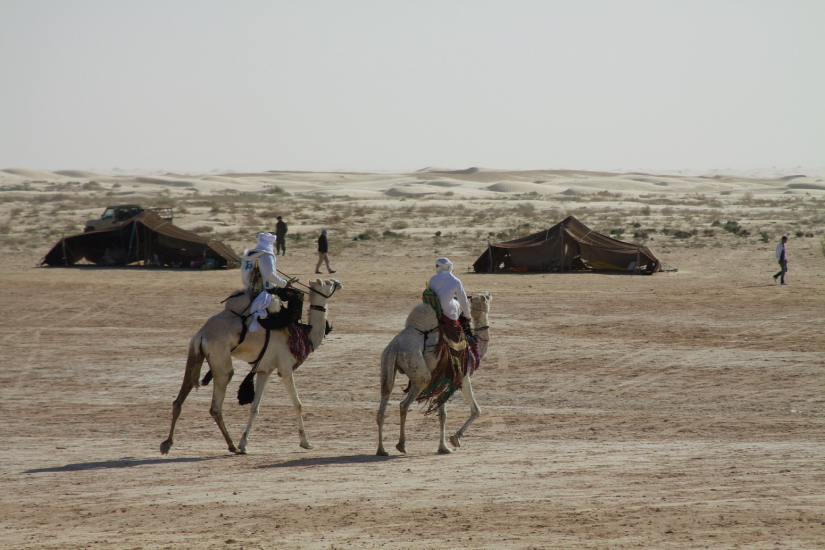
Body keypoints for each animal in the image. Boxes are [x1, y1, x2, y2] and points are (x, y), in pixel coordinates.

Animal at [161, 280, 342, 458]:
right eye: (328, 283)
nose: (338, 283)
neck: (303, 336)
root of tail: (202, 334)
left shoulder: (264, 370)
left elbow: (255, 408)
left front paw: (244, 444)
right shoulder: (285, 368)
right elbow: (297, 404)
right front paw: (305, 443)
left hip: (194, 354)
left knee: (181, 397)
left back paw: (167, 444)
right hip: (221, 360)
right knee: (216, 404)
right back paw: (232, 446)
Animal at [378, 294, 492, 458]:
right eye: (486, 297)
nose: (489, 294)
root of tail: (396, 345)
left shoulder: (441, 380)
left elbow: (442, 414)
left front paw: (443, 447)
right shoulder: (462, 377)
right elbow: (476, 410)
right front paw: (454, 439)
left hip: (387, 362)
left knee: (383, 404)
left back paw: (381, 450)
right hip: (420, 372)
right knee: (404, 404)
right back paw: (401, 445)